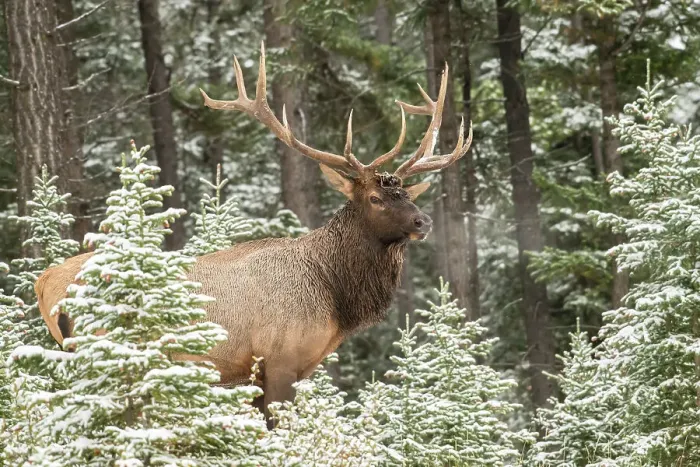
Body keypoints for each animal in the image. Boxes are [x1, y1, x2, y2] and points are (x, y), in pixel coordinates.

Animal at [35, 42, 472, 428]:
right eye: (376, 198)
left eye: (407, 195)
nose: (422, 222)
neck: (333, 295)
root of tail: (43, 282)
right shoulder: (279, 358)